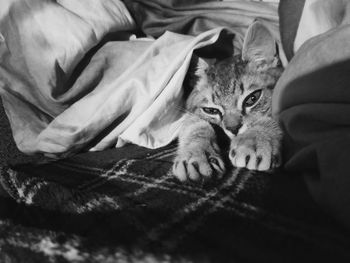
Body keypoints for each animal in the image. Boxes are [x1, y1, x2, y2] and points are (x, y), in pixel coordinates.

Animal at [174, 21, 284, 183]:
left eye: (252, 99)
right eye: (211, 110)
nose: (233, 129)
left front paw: (256, 139)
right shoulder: (190, 112)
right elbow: (195, 124)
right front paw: (196, 154)